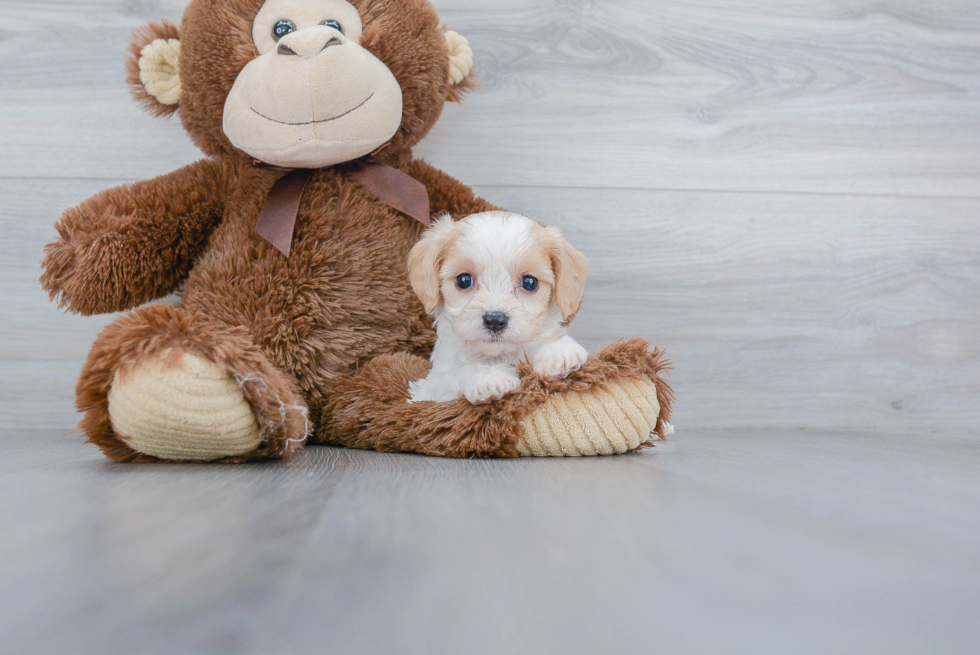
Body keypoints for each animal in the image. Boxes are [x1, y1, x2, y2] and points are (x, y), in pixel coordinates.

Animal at [406, 211, 588, 404]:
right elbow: (457, 374)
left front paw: (557, 352)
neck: (499, 355)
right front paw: (488, 377)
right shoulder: (429, 388)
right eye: (464, 280)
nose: (494, 320)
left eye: (529, 282)